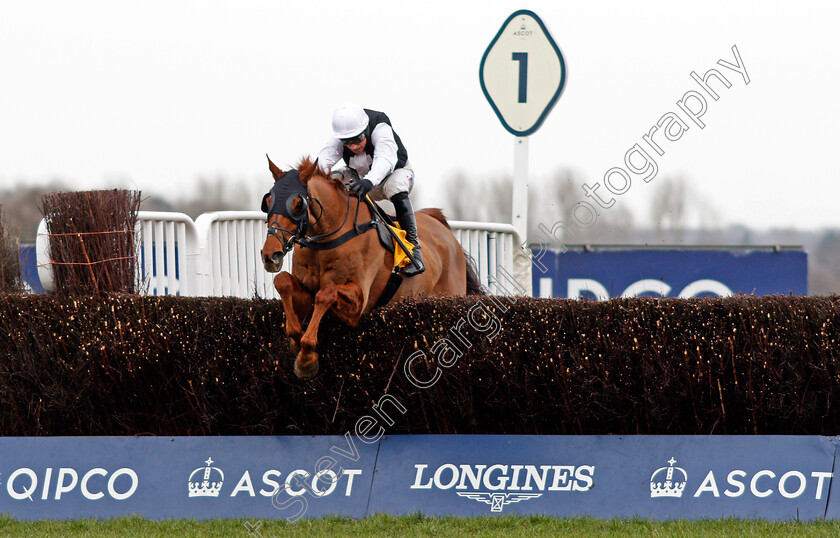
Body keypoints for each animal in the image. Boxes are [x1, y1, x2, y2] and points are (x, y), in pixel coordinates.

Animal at [260, 156, 482, 376]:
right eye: (268, 202)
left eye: (298, 204)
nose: (271, 255)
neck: (327, 239)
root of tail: (442, 226)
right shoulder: (306, 292)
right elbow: (283, 281)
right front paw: (296, 338)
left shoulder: (358, 303)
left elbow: (325, 293)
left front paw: (306, 358)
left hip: (451, 295)